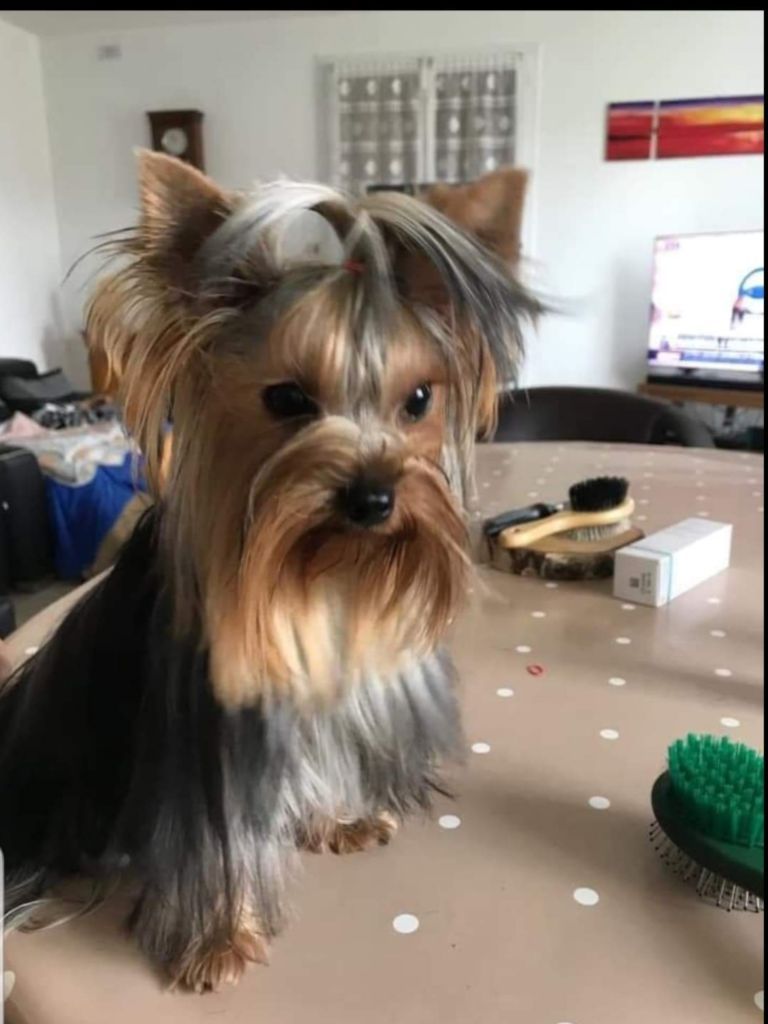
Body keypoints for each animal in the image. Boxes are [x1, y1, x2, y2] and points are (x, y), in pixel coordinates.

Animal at [0, 153, 539, 992]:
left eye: (419, 398)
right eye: (287, 399)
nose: (374, 497)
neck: (318, 576)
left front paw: (337, 820)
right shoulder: (203, 749)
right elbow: (215, 839)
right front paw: (217, 941)